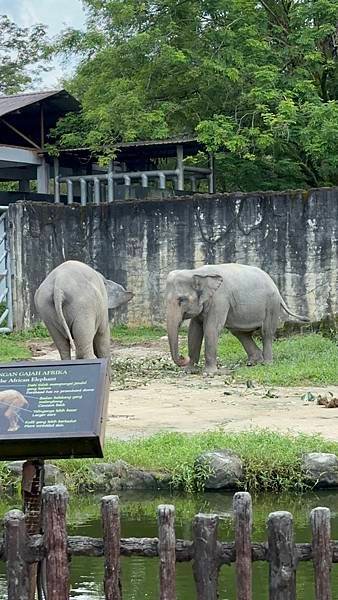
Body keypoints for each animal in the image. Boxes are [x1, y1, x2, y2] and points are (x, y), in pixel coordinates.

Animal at [165, 264, 310, 376]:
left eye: (182, 299)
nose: (183, 357)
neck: (197, 272)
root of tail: (276, 288)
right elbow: (194, 331)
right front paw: (190, 371)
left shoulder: (220, 299)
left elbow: (211, 328)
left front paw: (209, 373)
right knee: (240, 333)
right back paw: (253, 362)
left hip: (271, 305)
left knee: (266, 332)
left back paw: (267, 363)